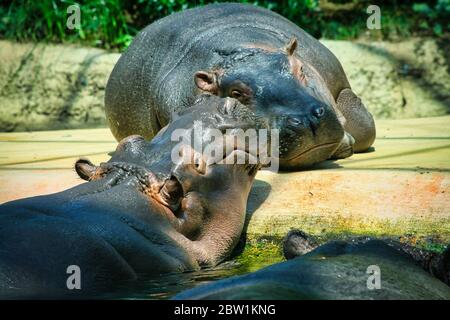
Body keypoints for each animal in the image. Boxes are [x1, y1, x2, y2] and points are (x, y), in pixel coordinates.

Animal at [103, 2, 374, 170]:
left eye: (299, 69)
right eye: (236, 93)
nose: (306, 119)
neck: (244, 48)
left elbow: (365, 126)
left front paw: (346, 142)